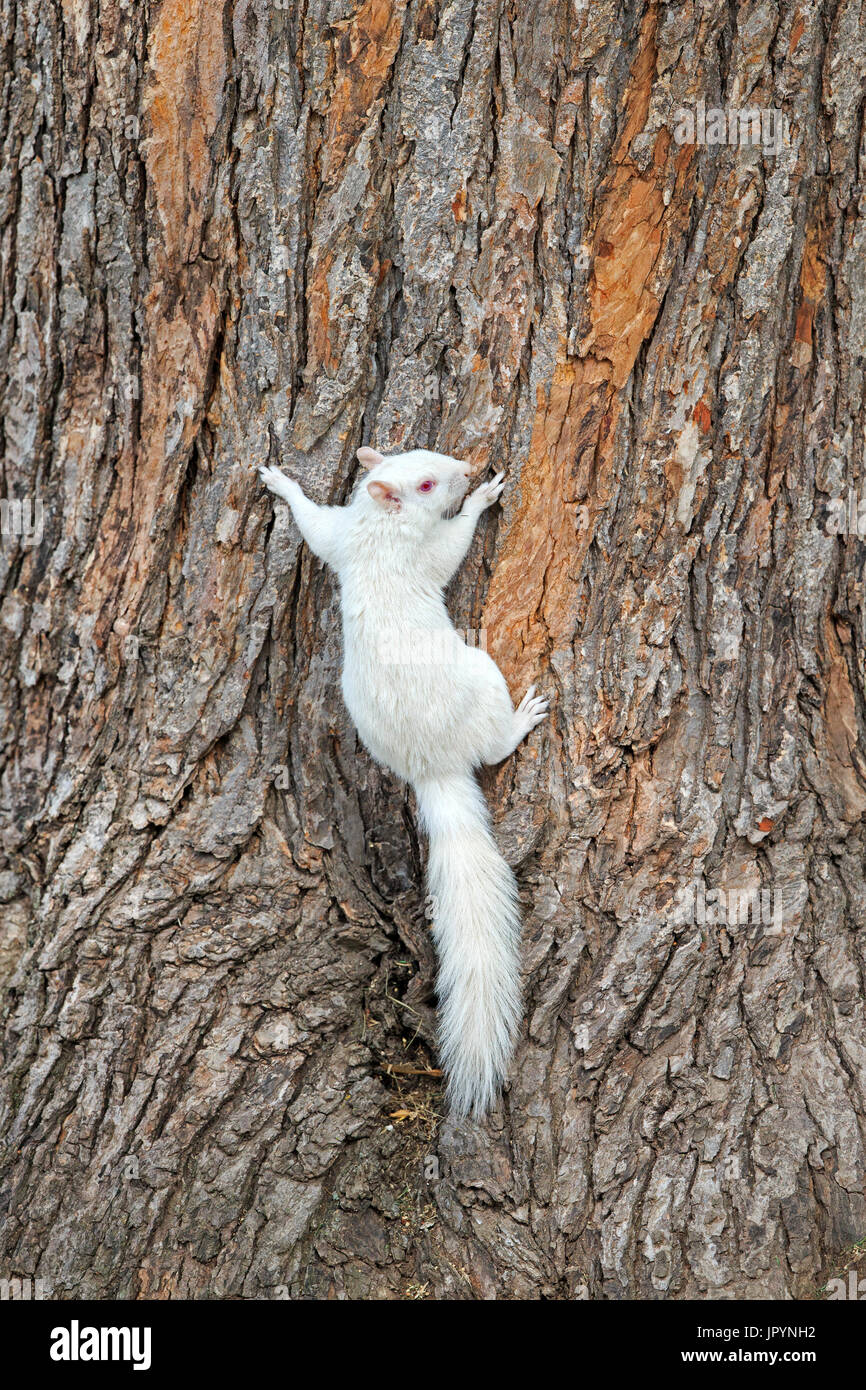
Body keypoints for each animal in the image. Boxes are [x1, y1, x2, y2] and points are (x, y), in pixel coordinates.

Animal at [261, 447, 553, 1117]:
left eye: (423, 453)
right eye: (424, 482)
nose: (467, 468)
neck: (376, 525)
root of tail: (432, 768)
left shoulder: (338, 537)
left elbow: (312, 525)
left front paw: (281, 483)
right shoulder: (422, 554)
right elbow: (455, 543)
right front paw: (484, 498)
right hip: (481, 676)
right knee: (494, 743)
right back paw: (522, 720)